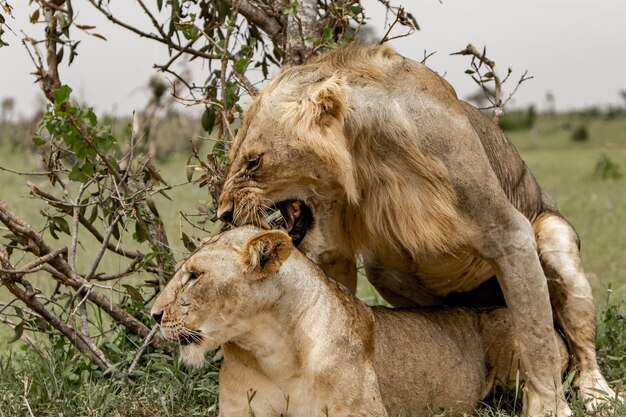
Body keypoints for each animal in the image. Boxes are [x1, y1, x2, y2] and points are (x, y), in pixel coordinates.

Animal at [217, 43, 616, 416]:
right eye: (237, 157)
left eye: (253, 162)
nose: (224, 213)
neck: (367, 153)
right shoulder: (333, 248)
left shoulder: (509, 232)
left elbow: (537, 336)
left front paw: (549, 407)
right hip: (387, 272)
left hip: (553, 237)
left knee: (578, 343)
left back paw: (598, 394)